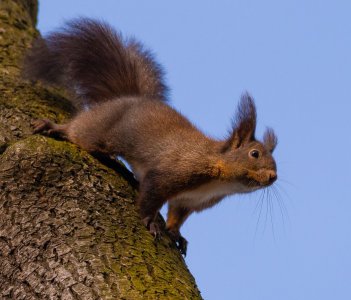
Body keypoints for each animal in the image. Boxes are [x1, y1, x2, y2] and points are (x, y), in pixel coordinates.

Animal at [23, 17, 280, 255]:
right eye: (254, 153)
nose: (273, 177)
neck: (219, 179)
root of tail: (125, 98)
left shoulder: (189, 201)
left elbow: (177, 215)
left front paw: (176, 233)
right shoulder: (173, 172)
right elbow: (151, 196)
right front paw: (150, 221)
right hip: (100, 129)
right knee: (79, 131)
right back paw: (54, 127)